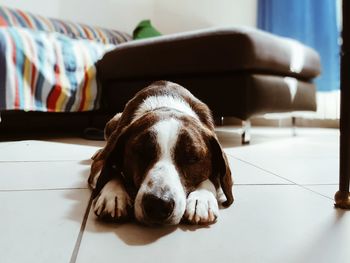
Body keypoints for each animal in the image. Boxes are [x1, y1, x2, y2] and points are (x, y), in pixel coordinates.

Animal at [89, 81, 234, 226]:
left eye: (192, 158)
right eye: (141, 151)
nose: (158, 204)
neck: (167, 105)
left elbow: (212, 178)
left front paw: (202, 198)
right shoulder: (102, 159)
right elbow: (110, 170)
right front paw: (114, 195)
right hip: (112, 121)